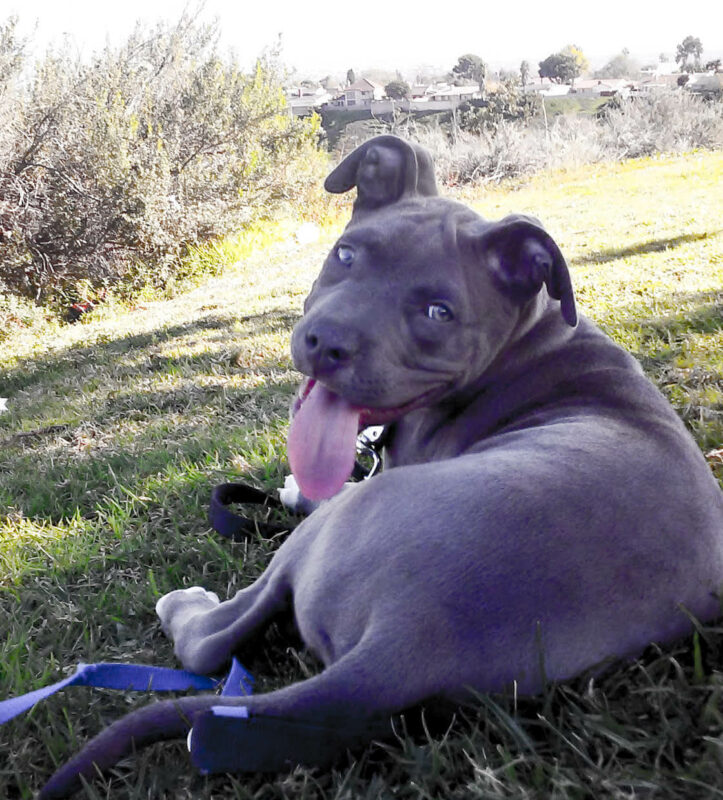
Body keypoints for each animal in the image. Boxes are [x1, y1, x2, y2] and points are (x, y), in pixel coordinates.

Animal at [38, 134, 723, 796]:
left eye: (439, 312)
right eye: (346, 254)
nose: (327, 345)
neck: (534, 343)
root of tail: (407, 646)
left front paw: (290, 490)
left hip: (333, 529)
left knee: (213, 643)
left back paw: (186, 604)